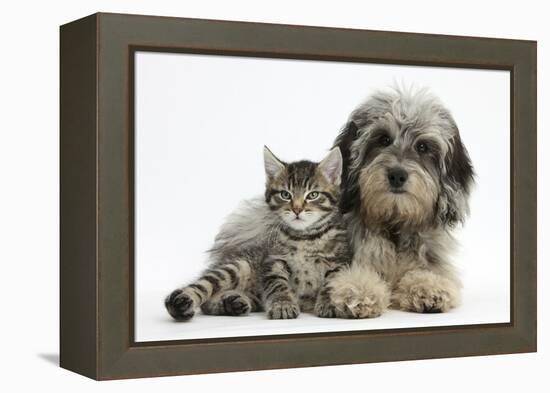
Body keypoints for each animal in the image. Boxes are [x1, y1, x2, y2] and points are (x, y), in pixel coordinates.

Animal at [164, 145, 354, 320]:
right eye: (285, 194)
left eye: (313, 195)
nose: (297, 209)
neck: (305, 237)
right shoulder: (273, 261)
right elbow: (278, 284)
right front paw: (283, 305)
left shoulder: (339, 263)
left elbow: (332, 283)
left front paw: (329, 302)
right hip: (237, 266)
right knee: (203, 289)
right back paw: (181, 303)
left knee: (211, 304)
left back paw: (232, 303)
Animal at [326, 87, 476, 316]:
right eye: (383, 139)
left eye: (423, 147)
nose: (397, 175)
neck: (395, 224)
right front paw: (358, 290)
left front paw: (429, 287)